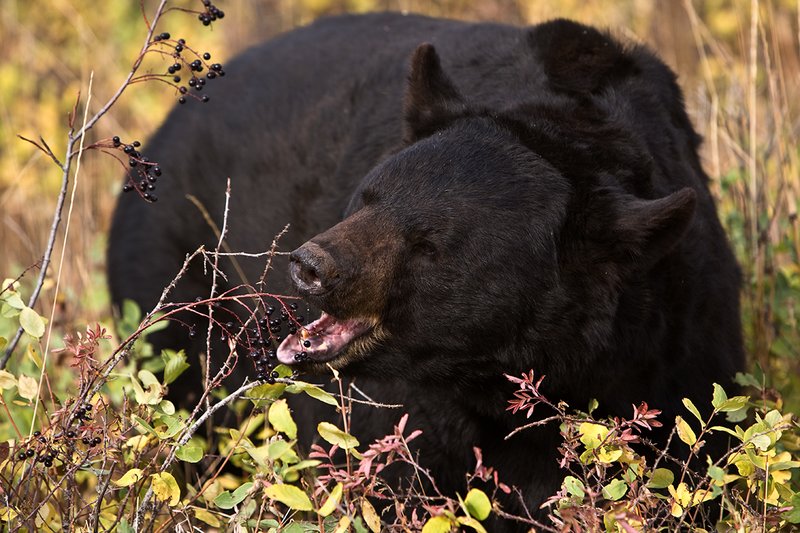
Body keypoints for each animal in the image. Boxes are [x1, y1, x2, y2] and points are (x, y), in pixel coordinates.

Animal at [108, 12, 745, 530]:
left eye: (431, 244)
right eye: (367, 197)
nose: (310, 267)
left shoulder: (678, 347)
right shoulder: (407, 410)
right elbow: (390, 478)